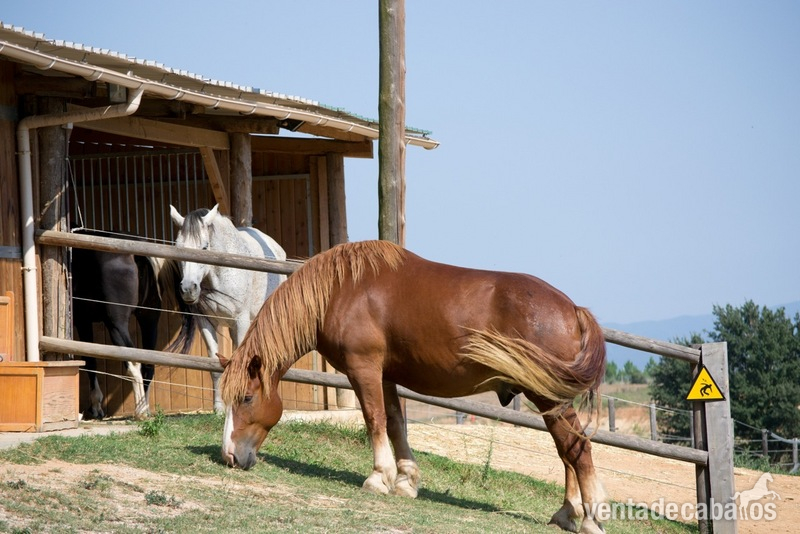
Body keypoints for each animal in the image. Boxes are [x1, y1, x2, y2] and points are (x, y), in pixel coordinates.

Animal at [71, 231, 179, 419]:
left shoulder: (83, 322)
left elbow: (89, 361)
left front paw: (96, 406)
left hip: (117, 325)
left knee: (134, 363)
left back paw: (140, 412)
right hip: (149, 319)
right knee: (148, 363)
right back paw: (146, 409)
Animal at [168, 204, 287, 413]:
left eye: (205, 247)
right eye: (179, 247)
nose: (188, 289)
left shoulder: (241, 321)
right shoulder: (206, 322)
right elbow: (215, 365)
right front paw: (218, 408)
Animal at [218, 240, 608, 534]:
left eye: (247, 398)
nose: (230, 456)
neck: (341, 290)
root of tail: (573, 310)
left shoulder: (364, 369)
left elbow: (374, 420)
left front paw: (379, 478)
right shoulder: (385, 375)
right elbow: (395, 423)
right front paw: (406, 480)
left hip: (546, 396)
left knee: (576, 448)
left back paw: (589, 518)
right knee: (567, 450)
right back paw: (568, 513)